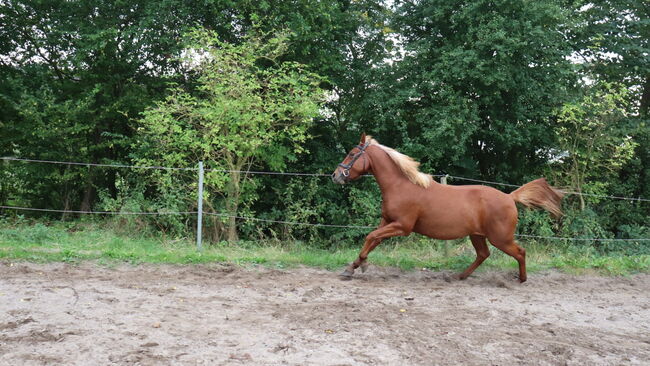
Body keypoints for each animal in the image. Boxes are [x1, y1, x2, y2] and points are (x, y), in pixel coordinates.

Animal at [330, 133, 560, 282]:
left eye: (351, 154)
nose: (335, 175)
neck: (401, 186)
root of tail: (509, 197)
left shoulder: (402, 226)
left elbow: (370, 237)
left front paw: (361, 265)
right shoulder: (387, 221)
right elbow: (373, 239)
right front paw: (352, 267)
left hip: (500, 238)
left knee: (520, 252)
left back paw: (522, 279)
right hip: (477, 235)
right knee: (483, 254)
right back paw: (460, 276)